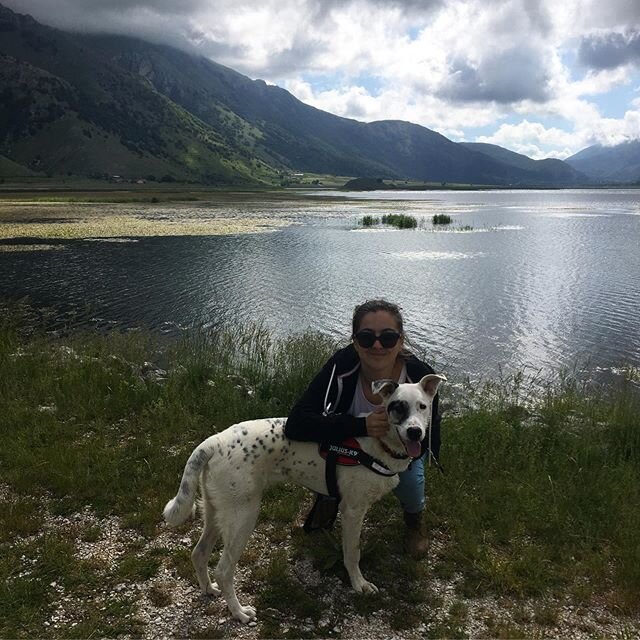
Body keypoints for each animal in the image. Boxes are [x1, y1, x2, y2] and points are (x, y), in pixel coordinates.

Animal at [164, 372, 444, 624]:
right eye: (398, 407)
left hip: (216, 510)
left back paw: (208, 589)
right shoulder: (353, 510)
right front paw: (359, 584)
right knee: (223, 570)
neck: (377, 443)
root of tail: (215, 441)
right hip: (242, 517)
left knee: (199, 553)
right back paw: (239, 612)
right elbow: (352, 552)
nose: (415, 432)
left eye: (423, 406)